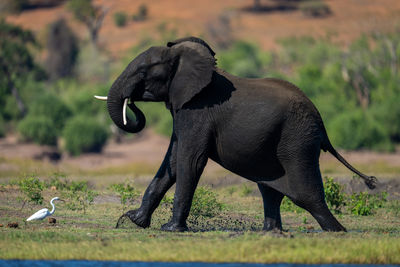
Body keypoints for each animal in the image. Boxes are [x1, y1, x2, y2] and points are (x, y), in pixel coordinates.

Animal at [95, 36, 376, 233]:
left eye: (143, 74)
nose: (131, 102)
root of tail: (321, 122)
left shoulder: (197, 111)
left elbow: (190, 161)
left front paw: (171, 229)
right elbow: (172, 162)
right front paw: (132, 221)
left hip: (297, 140)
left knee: (308, 197)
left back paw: (337, 232)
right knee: (271, 191)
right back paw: (270, 232)